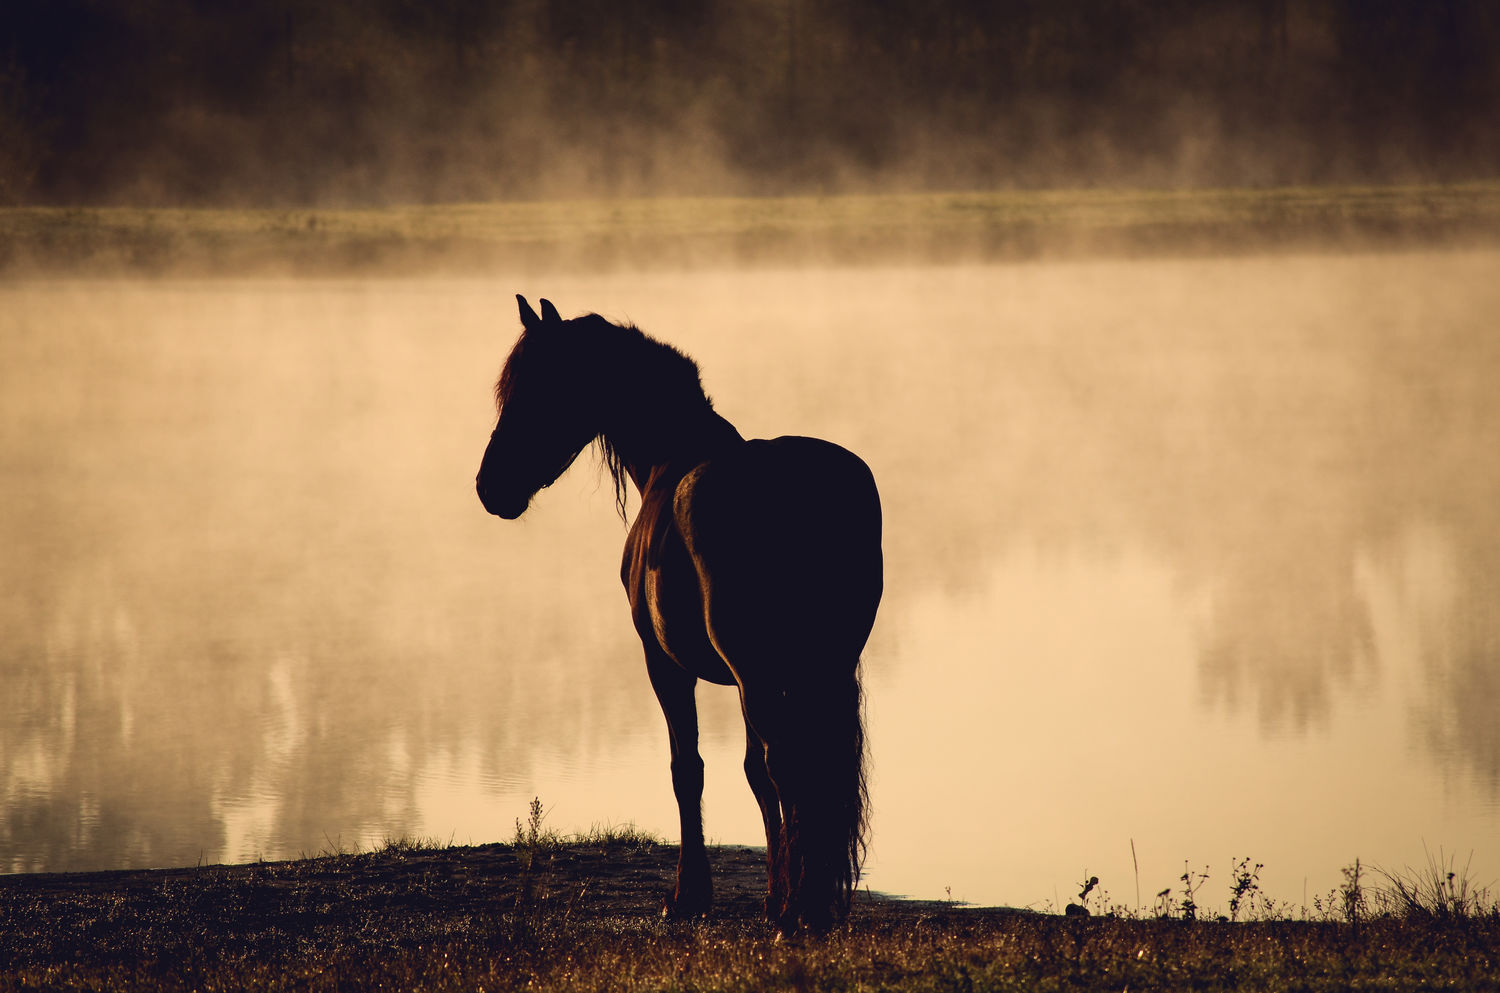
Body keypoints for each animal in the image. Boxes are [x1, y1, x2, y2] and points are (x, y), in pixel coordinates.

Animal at [476, 296, 883, 934]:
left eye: (539, 388)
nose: (490, 486)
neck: (673, 457)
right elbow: (753, 775)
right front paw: (769, 893)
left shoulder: (665, 664)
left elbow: (688, 769)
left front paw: (689, 897)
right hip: (822, 667)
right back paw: (810, 905)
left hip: (761, 672)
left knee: (789, 762)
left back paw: (799, 912)